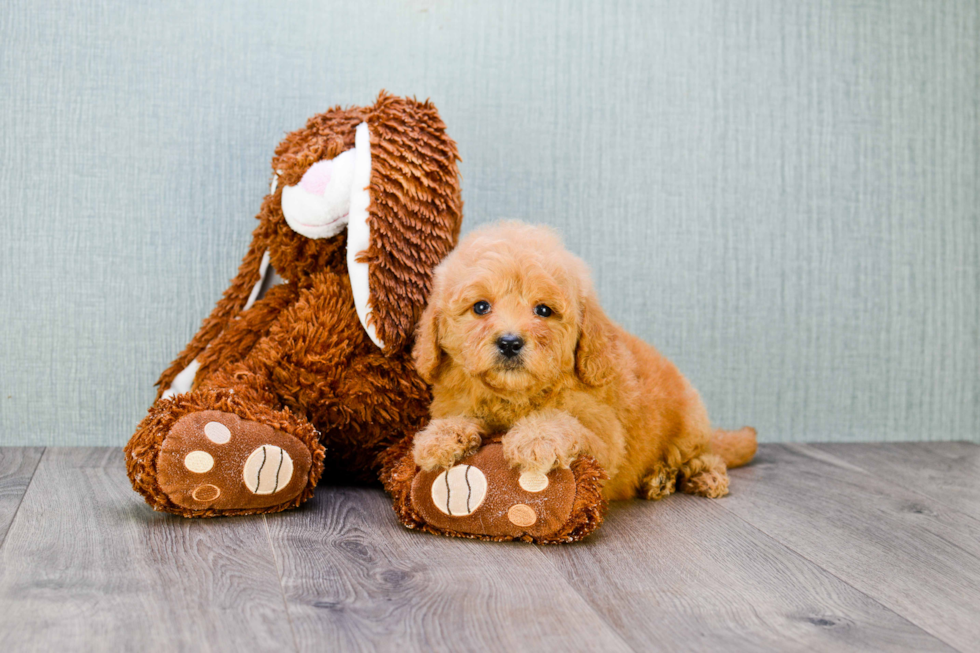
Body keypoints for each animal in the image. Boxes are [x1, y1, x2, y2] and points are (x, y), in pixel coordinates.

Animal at [410, 222, 756, 502]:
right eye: (481, 307)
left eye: (544, 310)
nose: (509, 342)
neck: (513, 398)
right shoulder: (457, 399)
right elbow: (458, 416)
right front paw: (438, 438)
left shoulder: (606, 439)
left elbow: (565, 422)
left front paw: (535, 438)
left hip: (689, 427)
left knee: (704, 455)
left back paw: (696, 476)